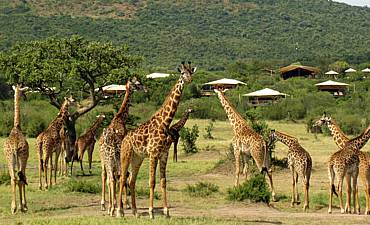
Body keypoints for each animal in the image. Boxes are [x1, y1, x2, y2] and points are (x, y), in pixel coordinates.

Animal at [117, 61, 197, 218]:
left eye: (191, 72)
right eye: (182, 73)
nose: (190, 80)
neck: (165, 123)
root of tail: (125, 138)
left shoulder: (164, 154)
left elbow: (163, 181)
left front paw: (166, 212)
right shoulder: (153, 154)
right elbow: (152, 182)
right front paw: (151, 212)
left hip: (137, 158)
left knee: (132, 180)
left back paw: (135, 212)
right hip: (126, 155)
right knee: (123, 178)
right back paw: (119, 211)